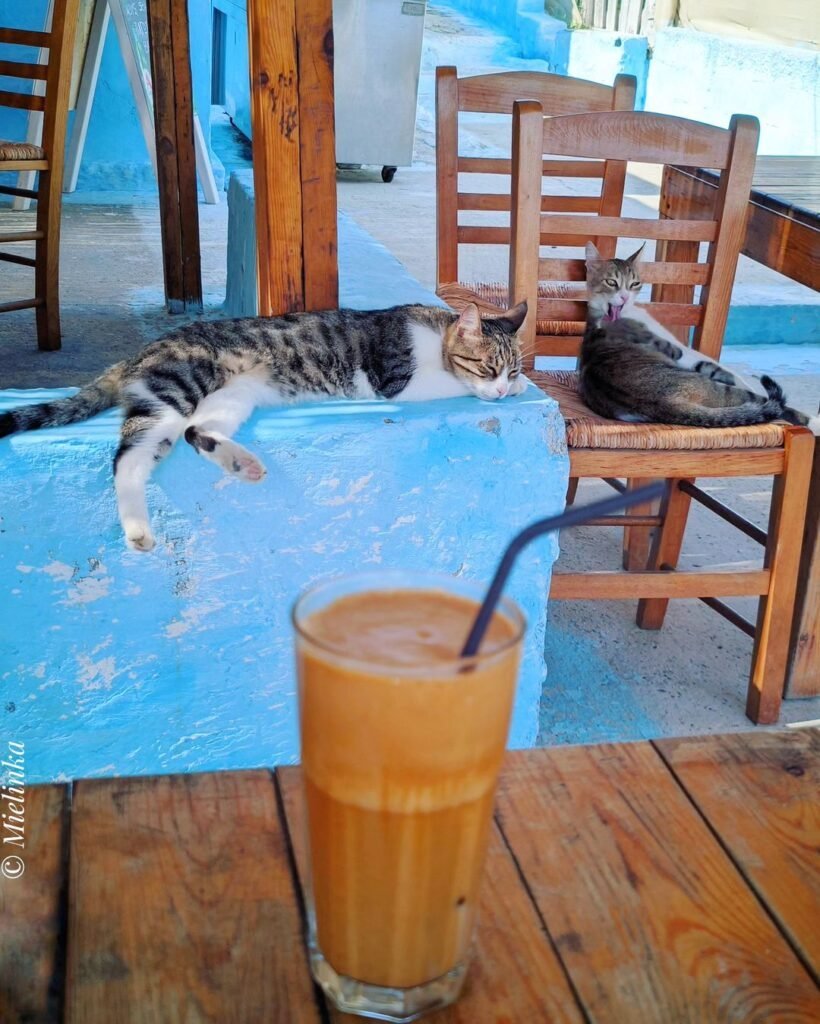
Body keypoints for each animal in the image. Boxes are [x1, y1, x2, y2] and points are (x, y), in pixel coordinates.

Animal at [0, 301, 528, 552]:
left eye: (512, 367)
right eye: (488, 369)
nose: (505, 389)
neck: (435, 332)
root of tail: (138, 355)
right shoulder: (398, 381)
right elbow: (448, 383)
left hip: (226, 399)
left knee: (184, 438)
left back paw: (234, 467)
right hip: (178, 388)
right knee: (128, 457)